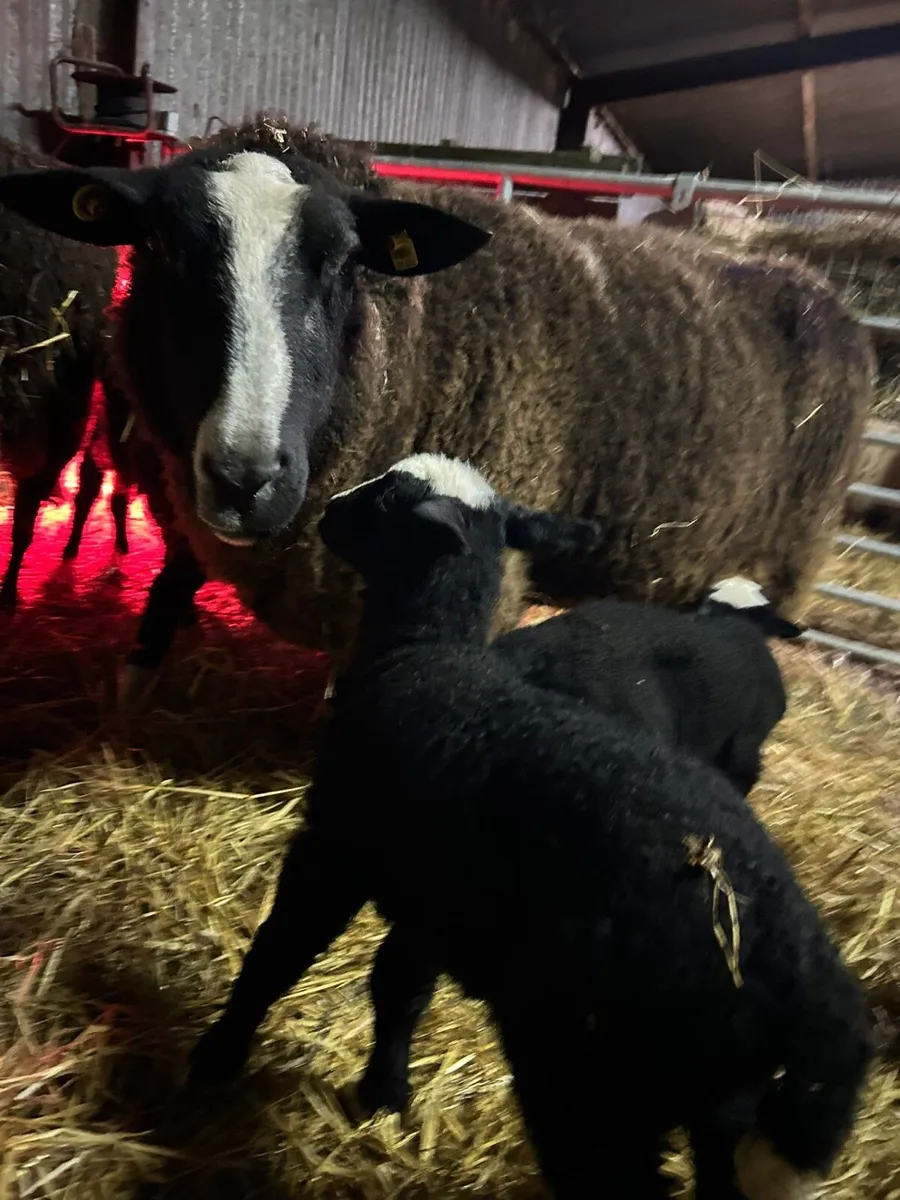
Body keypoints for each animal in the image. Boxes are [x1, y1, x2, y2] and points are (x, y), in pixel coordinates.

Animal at [0, 117, 873, 693]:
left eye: (344, 262)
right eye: (158, 249)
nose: (248, 477)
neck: (408, 348)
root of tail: (822, 289)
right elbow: (170, 579)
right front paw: (139, 670)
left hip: (780, 562)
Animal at [187, 452, 873, 1200]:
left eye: (386, 498)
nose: (329, 510)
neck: (425, 653)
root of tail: (814, 1007)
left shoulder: (337, 844)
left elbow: (281, 952)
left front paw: (218, 1055)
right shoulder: (437, 899)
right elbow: (399, 988)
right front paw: (385, 1092)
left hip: (590, 1066)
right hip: (719, 1101)